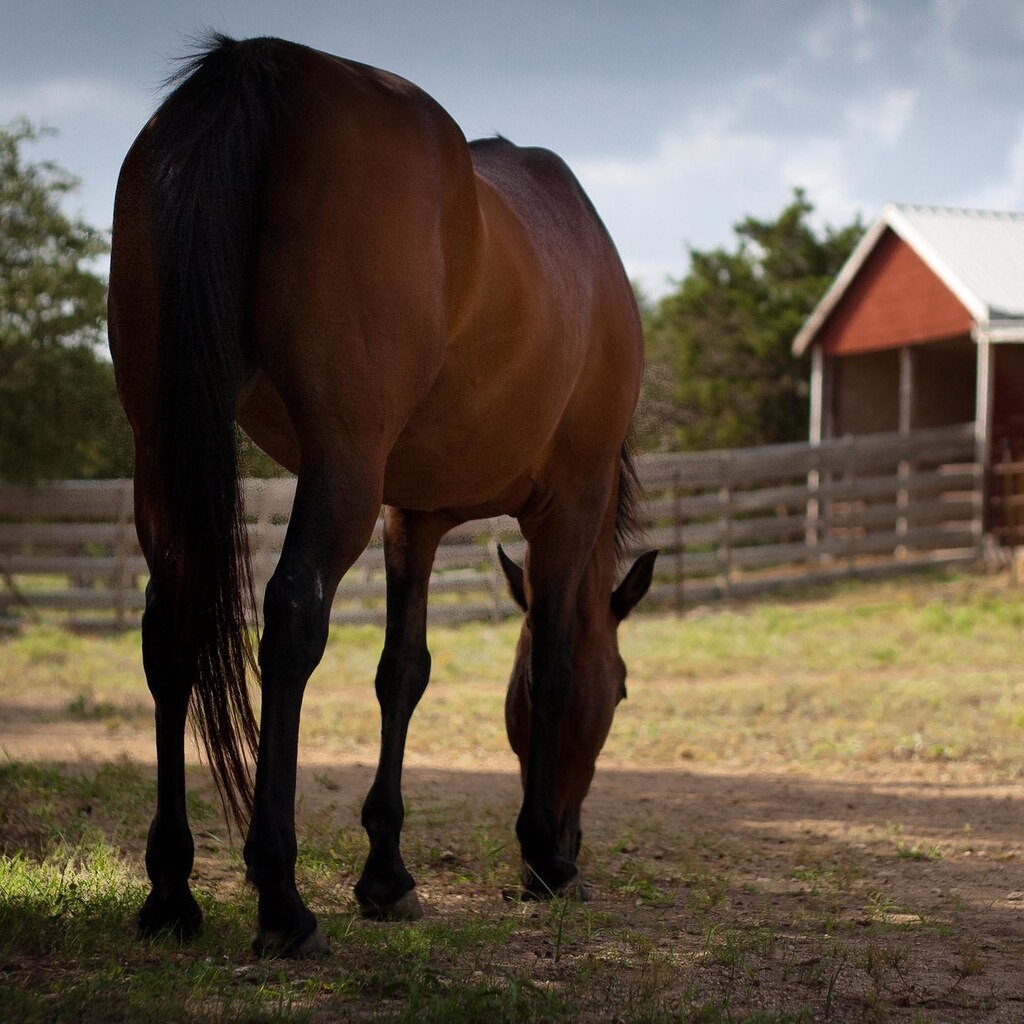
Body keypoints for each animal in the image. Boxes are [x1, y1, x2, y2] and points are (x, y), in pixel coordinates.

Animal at [107, 33, 656, 957]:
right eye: (618, 690)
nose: (575, 835)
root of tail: (262, 61)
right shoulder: (567, 505)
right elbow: (549, 666)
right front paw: (542, 856)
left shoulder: (414, 517)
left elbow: (403, 672)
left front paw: (388, 874)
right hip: (343, 466)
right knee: (292, 618)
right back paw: (282, 899)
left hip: (165, 451)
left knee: (168, 631)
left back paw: (172, 891)